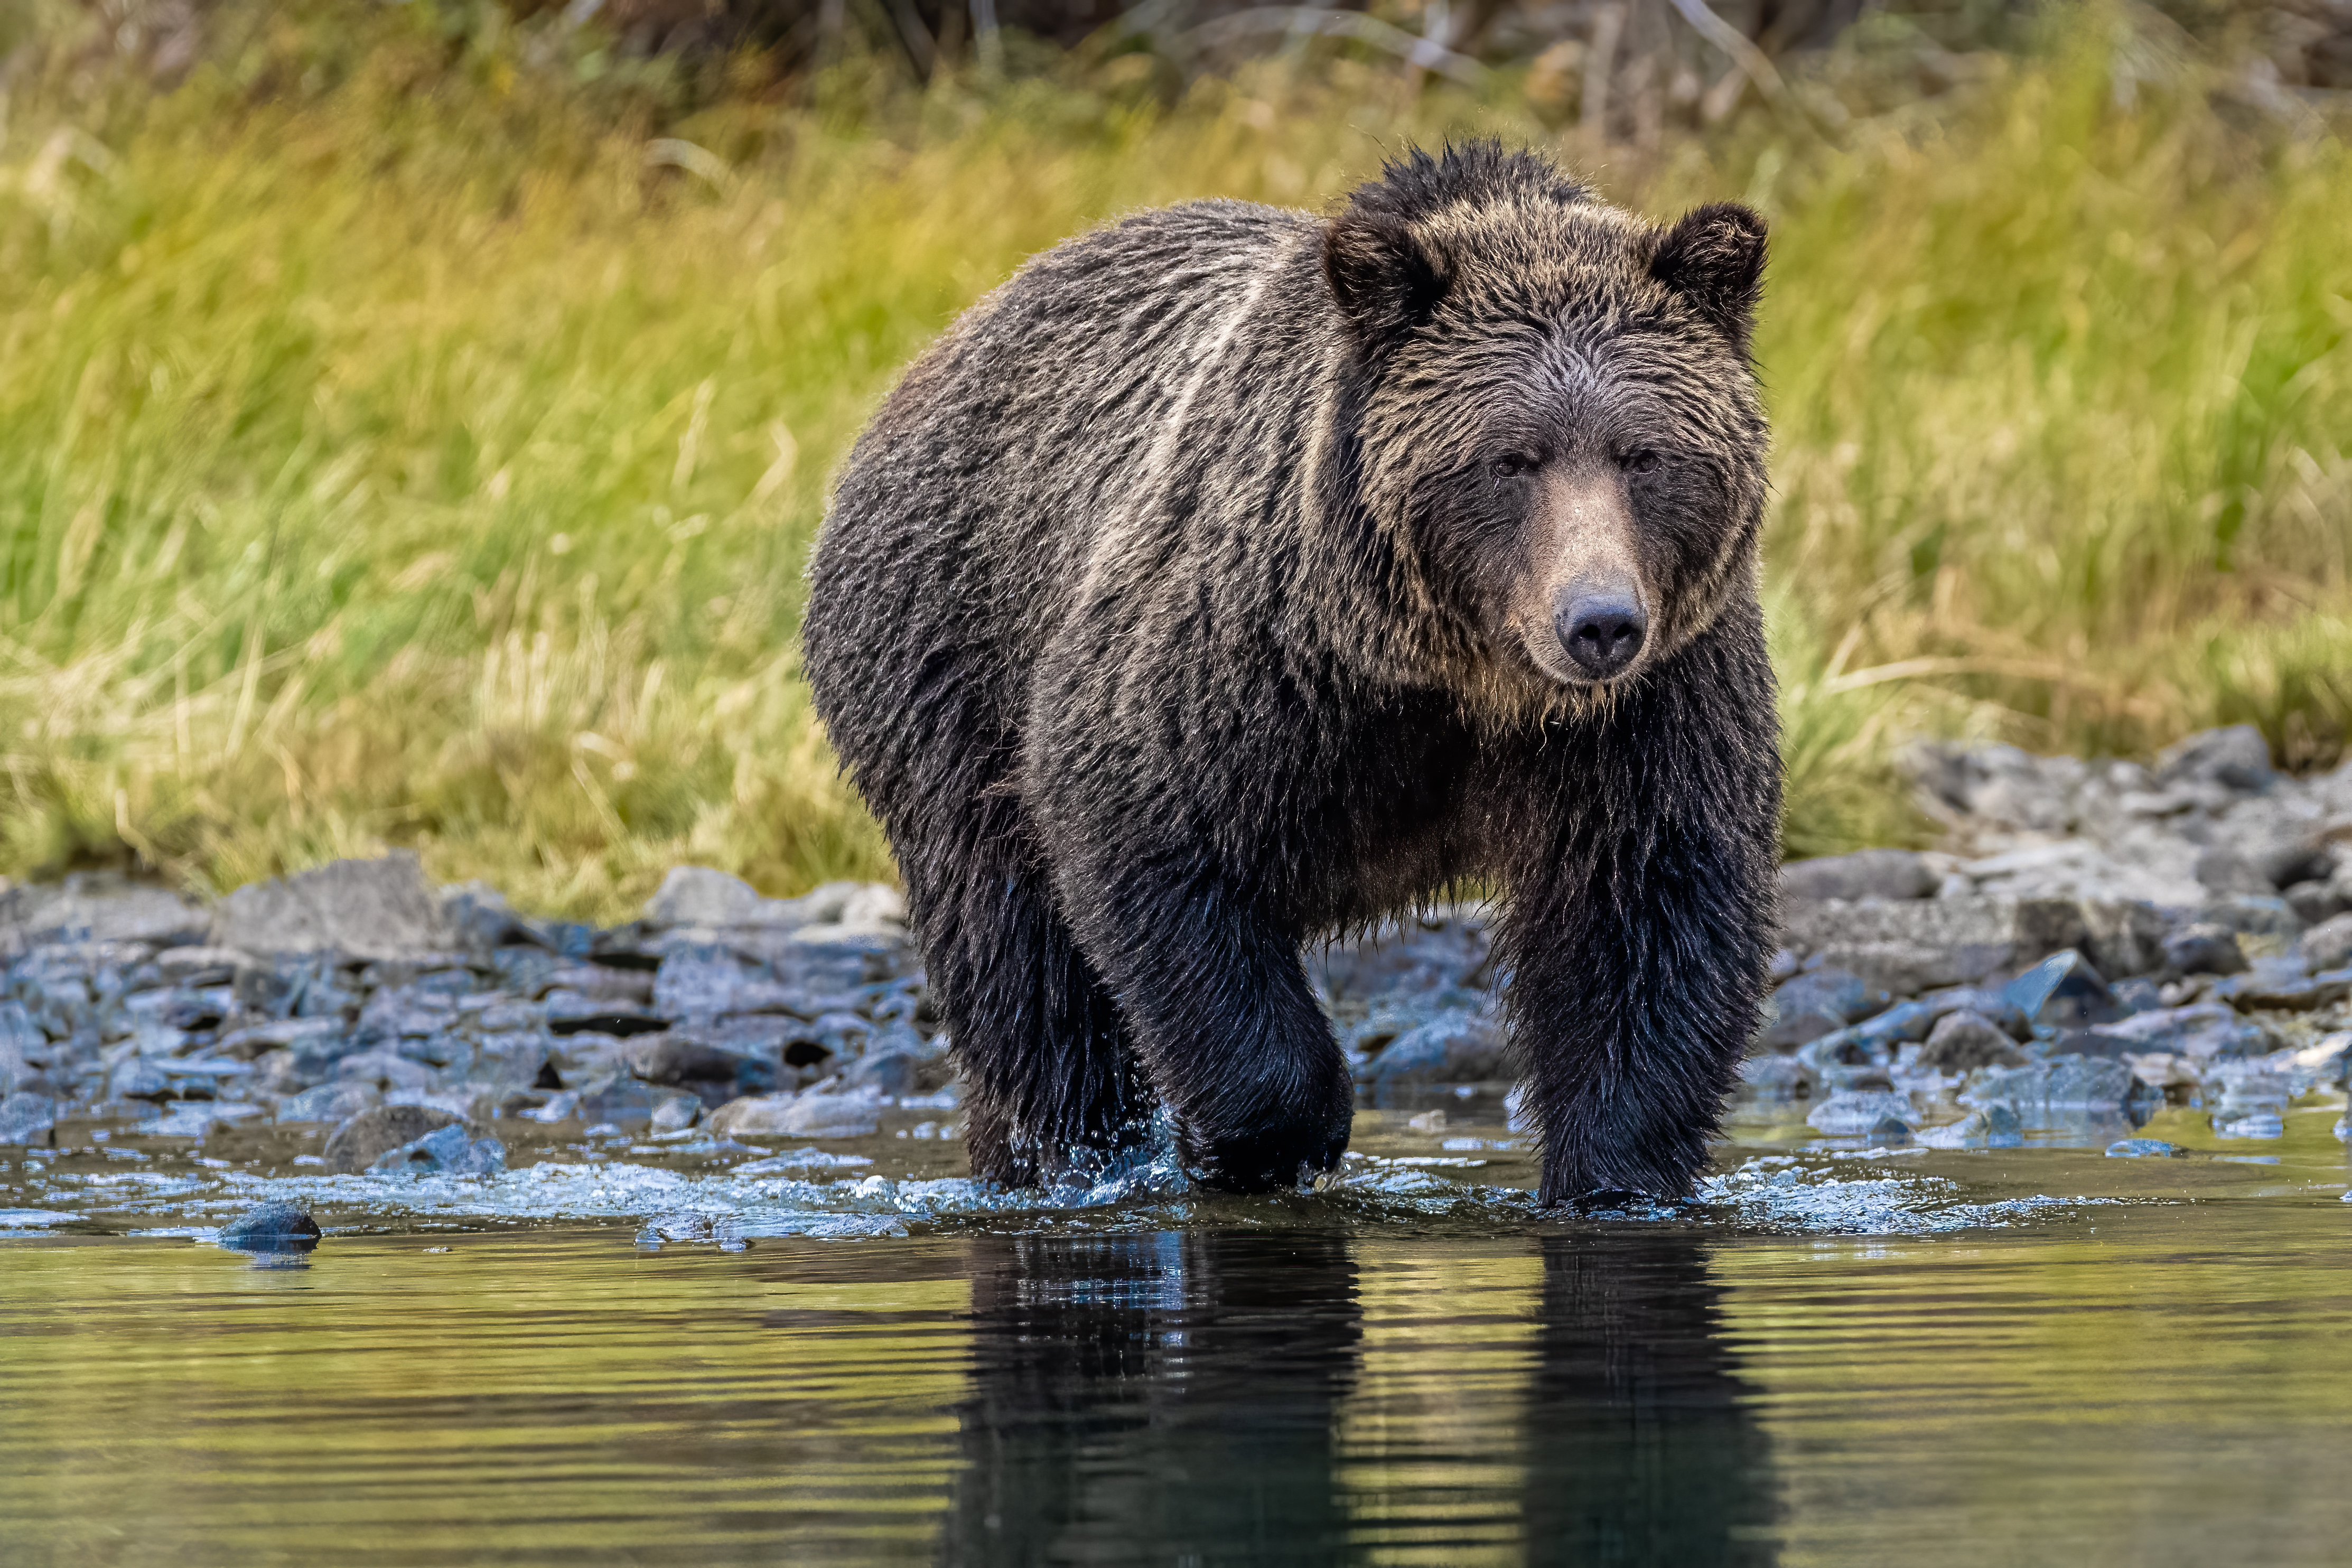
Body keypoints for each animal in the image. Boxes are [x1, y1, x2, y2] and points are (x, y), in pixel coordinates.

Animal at [809, 144, 1778, 1203]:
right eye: (1511, 459)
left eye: (1643, 454)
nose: (1599, 622)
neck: (1457, 680)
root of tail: (937, 357)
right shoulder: (1246, 659)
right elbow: (1147, 832)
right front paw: (1257, 1138)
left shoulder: (1653, 709)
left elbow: (1646, 921)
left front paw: (1613, 1173)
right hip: (947, 657)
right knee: (1022, 967)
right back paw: (1068, 1154)